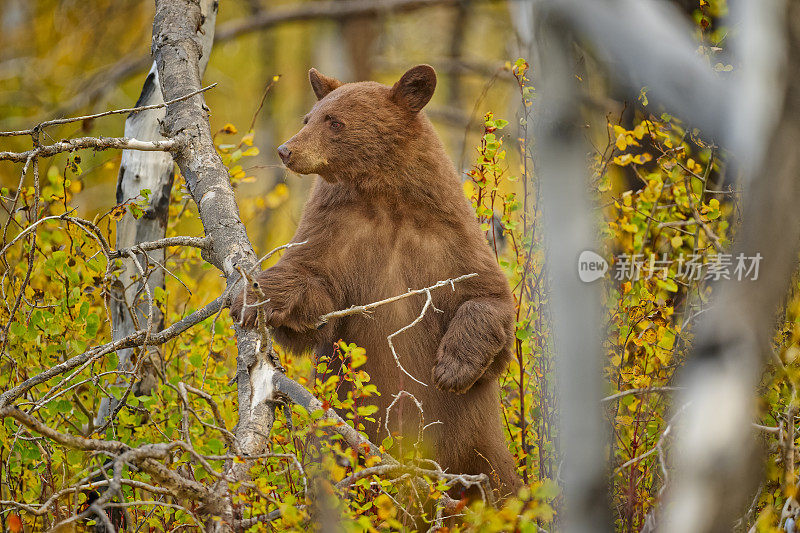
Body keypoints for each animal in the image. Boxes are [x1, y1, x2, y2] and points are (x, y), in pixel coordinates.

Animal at [231, 64, 520, 496]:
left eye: (334, 121)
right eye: (308, 118)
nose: (286, 150)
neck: (386, 201)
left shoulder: (450, 240)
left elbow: (488, 298)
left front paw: (451, 370)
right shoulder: (337, 233)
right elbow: (315, 300)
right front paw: (255, 296)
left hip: (481, 450)